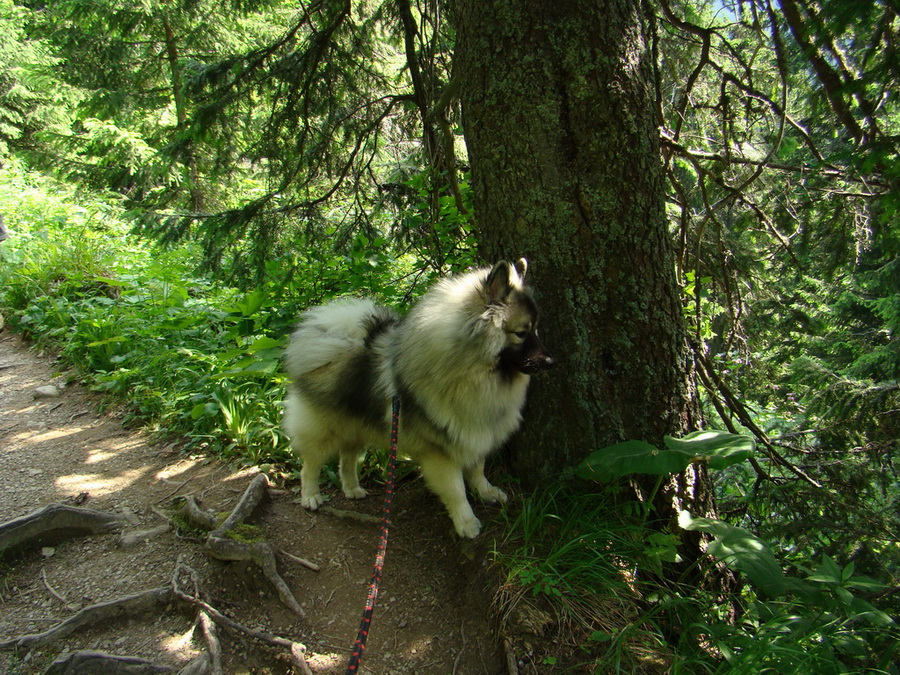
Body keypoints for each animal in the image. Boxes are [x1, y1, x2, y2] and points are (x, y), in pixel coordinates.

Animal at [282, 258, 552, 540]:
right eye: (521, 333)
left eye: (535, 330)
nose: (550, 361)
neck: (468, 371)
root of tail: (331, 344)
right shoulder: (440, 450)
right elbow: (456, 490)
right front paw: (466, 522)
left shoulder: (475, 432)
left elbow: (477, 470)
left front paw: (486, 492)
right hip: (324, 430)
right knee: (310, 464)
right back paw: (311, 496)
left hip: (357, 425)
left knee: (347, 458)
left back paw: (352, 488)